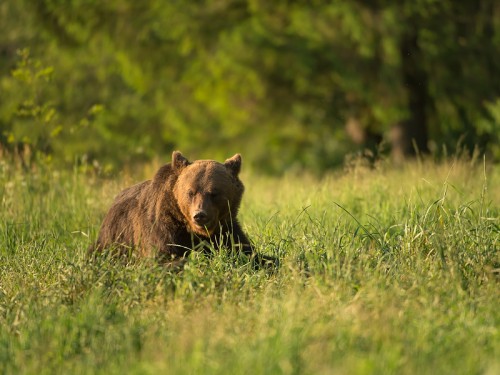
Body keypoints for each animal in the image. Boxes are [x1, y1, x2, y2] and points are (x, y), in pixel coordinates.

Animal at [91, 151, 278, 268]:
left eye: (214, 193)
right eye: (190, 192)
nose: (200, 215)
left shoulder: (226, 229)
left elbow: (248, 252)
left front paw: (268, 261)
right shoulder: (161, 226)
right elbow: (161, 257)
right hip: (113, 239)